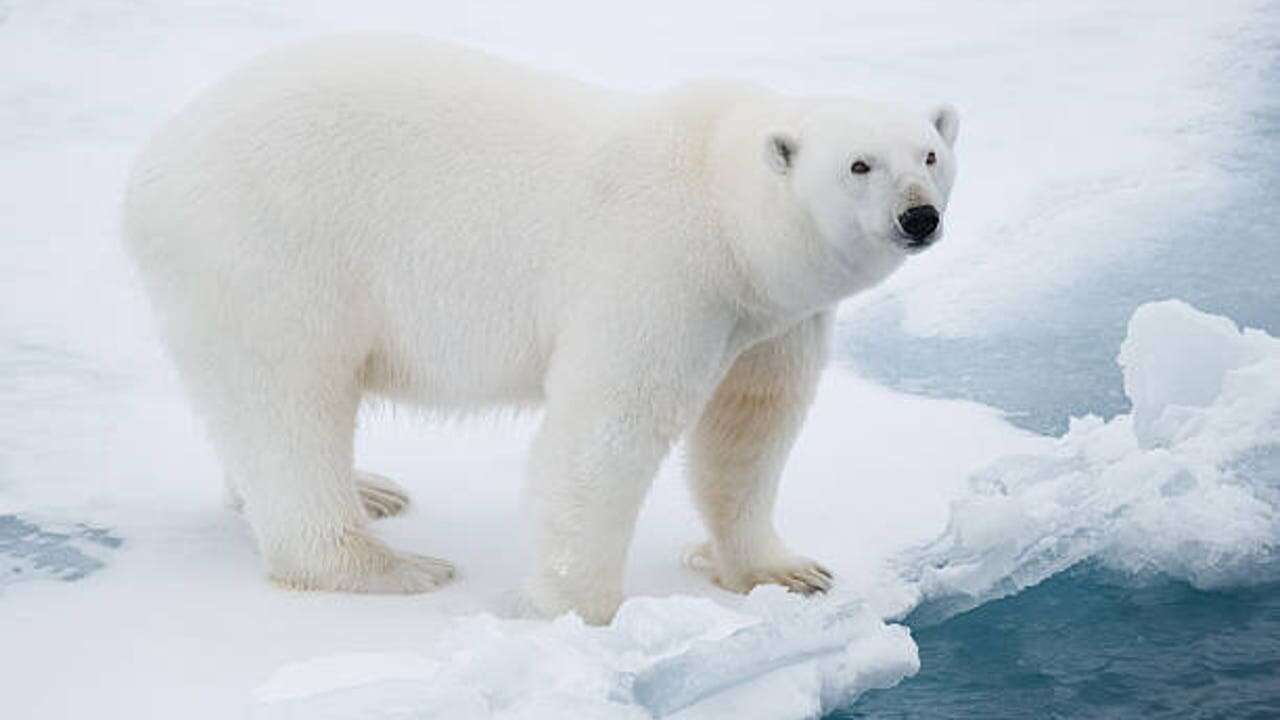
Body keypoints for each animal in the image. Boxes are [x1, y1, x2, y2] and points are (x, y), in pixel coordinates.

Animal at [124, 35, 962, 622]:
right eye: (858, 166)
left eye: (930, 153)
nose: (919, 217)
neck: (721, 204)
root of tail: (154, 161)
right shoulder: (661, 272)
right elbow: (607, 431)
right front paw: (585, 612)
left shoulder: (770, 314)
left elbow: (752, 426)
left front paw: (782, 570)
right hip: (274, 247)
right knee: (288, 398)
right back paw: (383, 563)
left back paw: (369, 489)